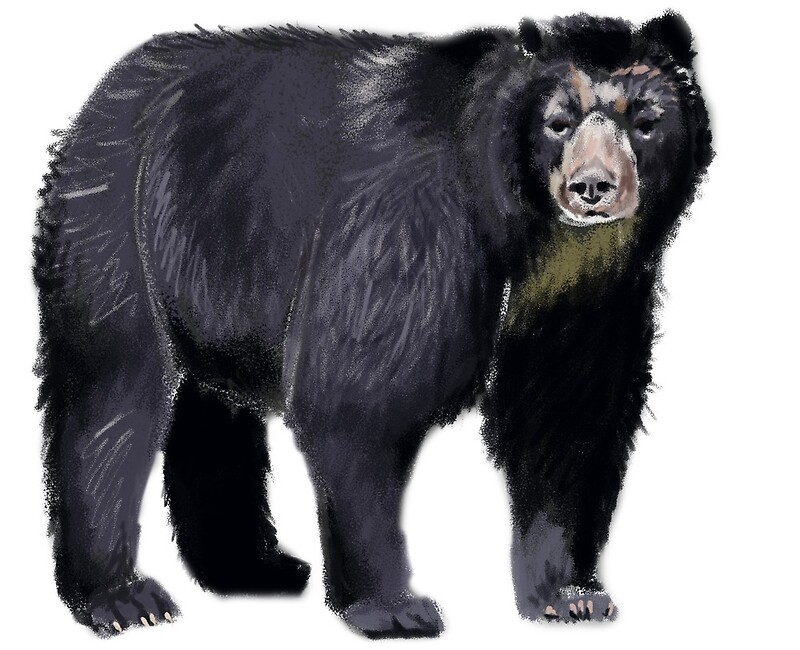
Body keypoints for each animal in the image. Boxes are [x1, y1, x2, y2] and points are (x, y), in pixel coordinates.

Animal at [33, 12, 712, 639]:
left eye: (645, 119)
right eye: (558, 120)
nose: (592, 187)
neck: (533, 238)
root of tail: (103, 94)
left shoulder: (592, 298)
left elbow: (565, 415)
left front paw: (570, 595)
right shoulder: (411, 226)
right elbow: (358, 395)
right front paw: (395, 608)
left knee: (211, 406)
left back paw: (253, 568)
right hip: (120, 225)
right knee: (113, 392)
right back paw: (123, 598)